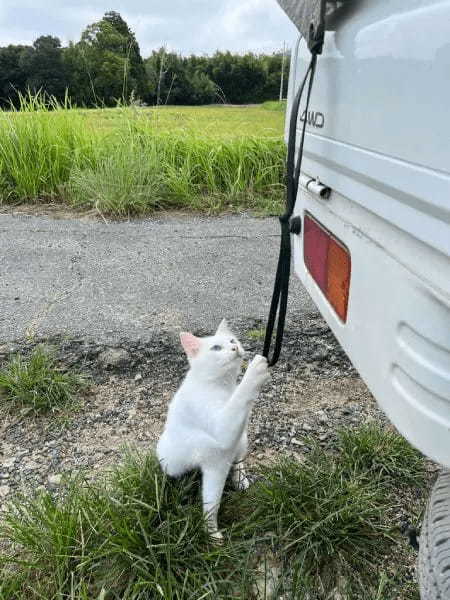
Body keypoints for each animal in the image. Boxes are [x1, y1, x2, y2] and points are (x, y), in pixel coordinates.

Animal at [157, 322, 270, 540]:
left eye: (232, 340)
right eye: (216, 348)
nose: (234, 347)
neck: (221, 385)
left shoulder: (234, 434)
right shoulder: (222, 429)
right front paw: (211, 534)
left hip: (239, 443)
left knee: (237, 461)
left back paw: (240, 480)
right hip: (175, 462)